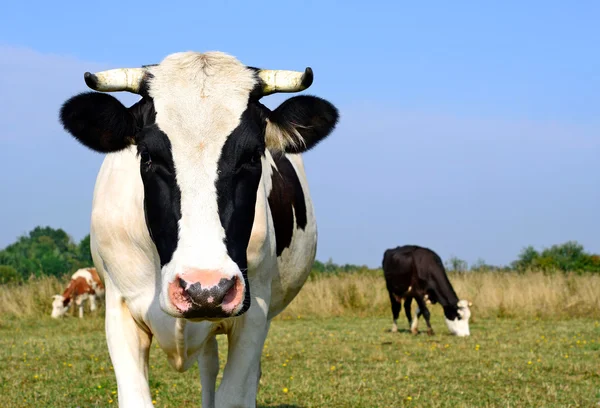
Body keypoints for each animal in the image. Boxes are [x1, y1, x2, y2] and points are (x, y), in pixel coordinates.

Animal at [58, 51, 340, 408]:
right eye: (147, 155)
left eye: (253, 156)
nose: (206, 288)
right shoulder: (118, 309)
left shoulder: (254, 313)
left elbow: (233, 395)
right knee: (208, 364)